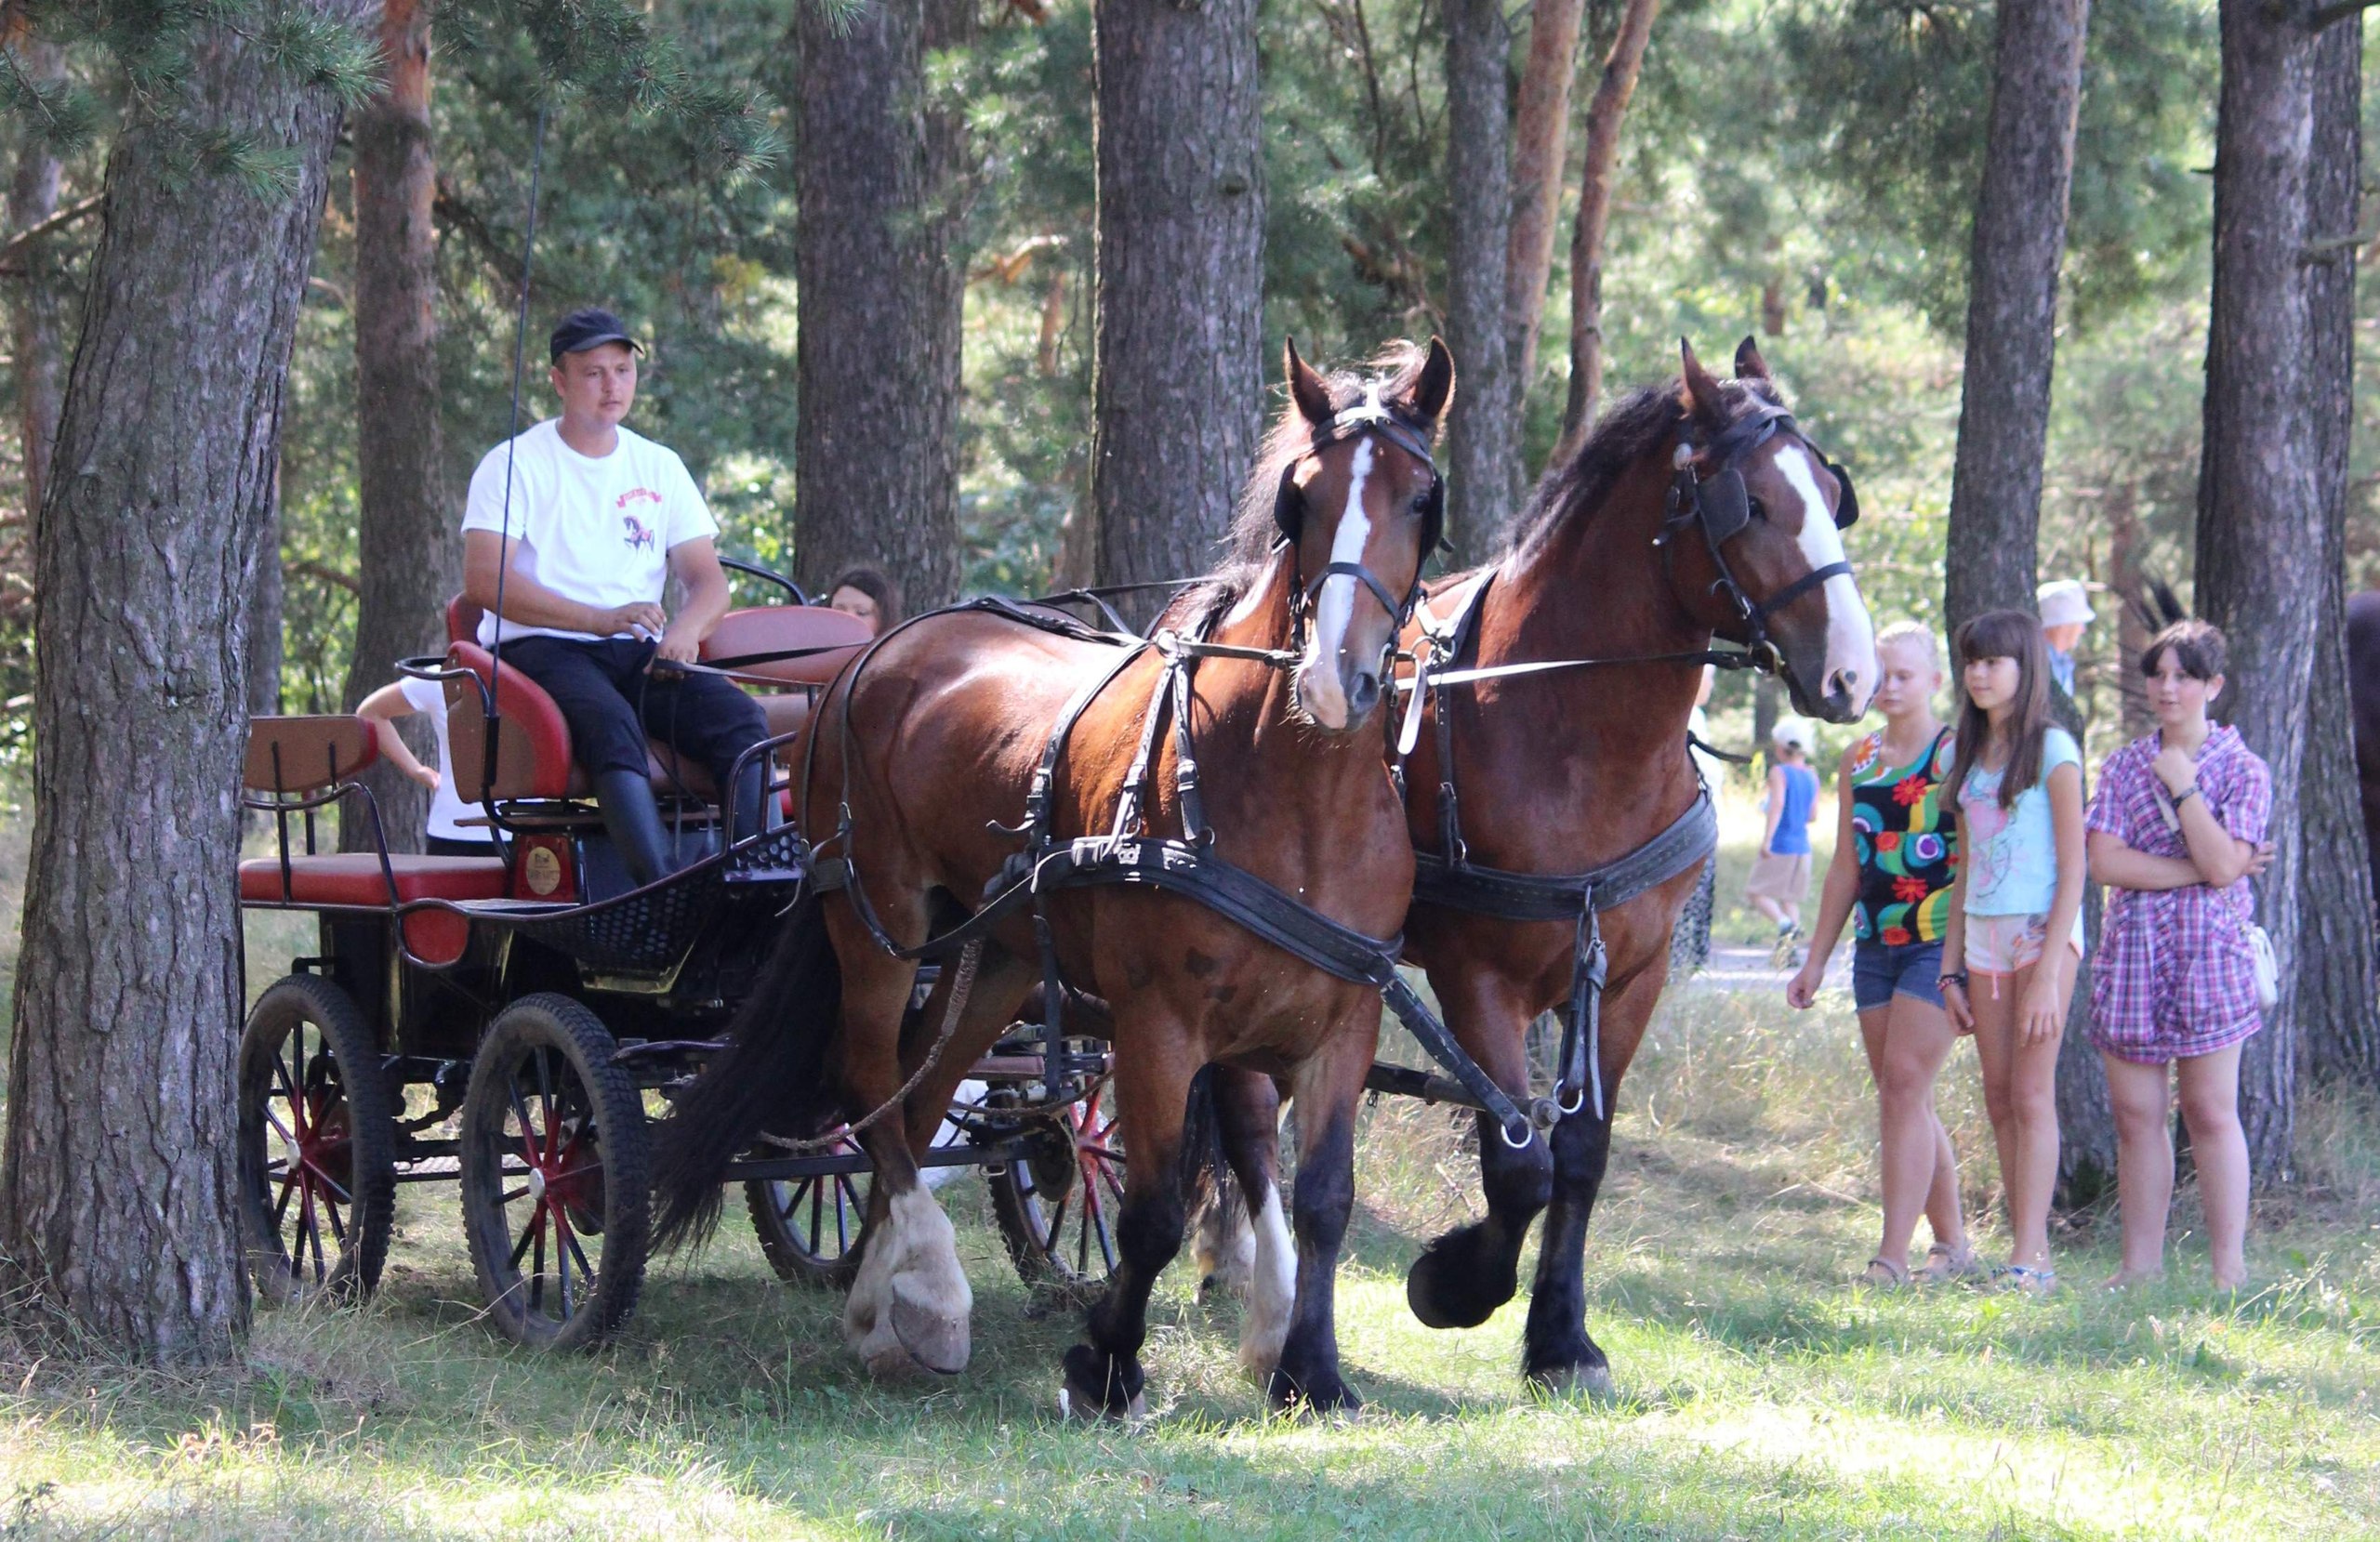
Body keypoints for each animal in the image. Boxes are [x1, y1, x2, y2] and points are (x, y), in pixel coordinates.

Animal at [652, 338, 1454, 1419]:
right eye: (1302, 498)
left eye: (1422, 499)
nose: (1337, 677)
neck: (1291, 789)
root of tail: (874, 651)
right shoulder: (1159, 1022)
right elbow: (1153, 1210)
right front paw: (1106, 1364)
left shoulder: (1342, 1020)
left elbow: (1323, 1197)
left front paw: (1312, 1370)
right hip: (874, 916)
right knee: (871, 1081)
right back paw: (931, 1292)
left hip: (993, 955)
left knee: (917, 1094)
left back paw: (880, 1301)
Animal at [1195, 337, 1876, 1394]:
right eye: (1753, 505)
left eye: (1831, 494)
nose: (1852, 670)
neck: (1568, 730)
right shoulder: (1478, 976)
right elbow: (1519, 1160)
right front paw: (1454, 1281)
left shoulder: (1631, 974)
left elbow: (1583, 1152)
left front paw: (1561, 1337)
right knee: (1249, 1113)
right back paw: (1266, 1308)